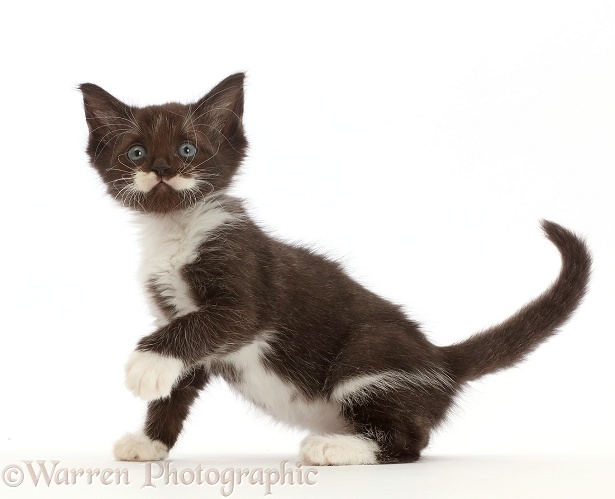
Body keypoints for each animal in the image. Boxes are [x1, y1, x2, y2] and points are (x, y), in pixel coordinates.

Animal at [79, 73, 588, 464]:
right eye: (136, 153)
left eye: (187, 149)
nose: (162, 169)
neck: (176, 229)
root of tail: (440, 359)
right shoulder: (177, 316)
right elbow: (180, 377)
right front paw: (150, 442)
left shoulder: (246, 290)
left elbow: (208, 324)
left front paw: (143, 364)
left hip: (368, 356)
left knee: (409, 442)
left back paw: (336, 448)